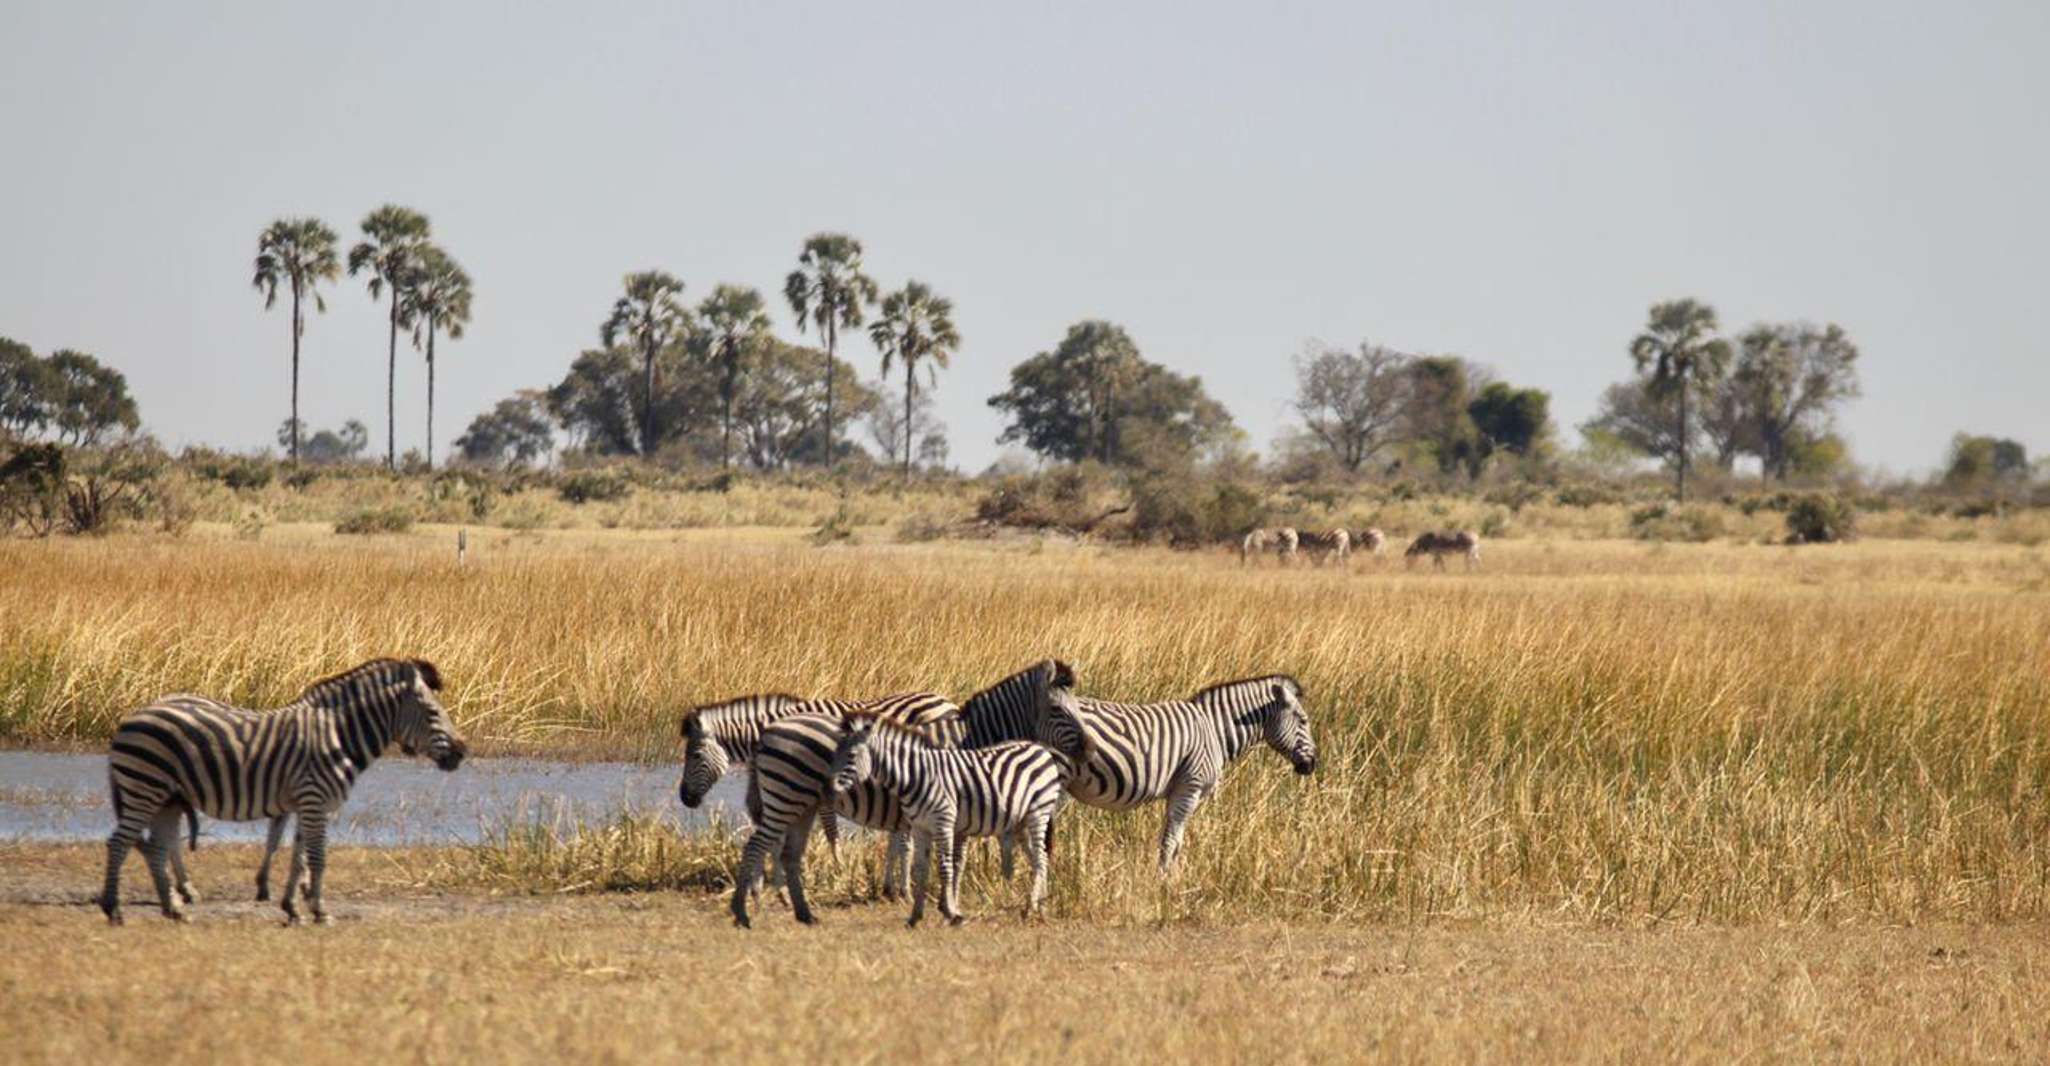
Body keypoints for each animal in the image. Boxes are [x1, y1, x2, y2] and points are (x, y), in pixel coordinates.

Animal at [101, 656, 467, 922]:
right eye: (433, 713)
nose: (462, 752)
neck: (339, 736)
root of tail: (129, 719)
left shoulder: (307, 803)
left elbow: (298, 856)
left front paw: (292, 907)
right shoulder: (314, 798)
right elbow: (316, 857)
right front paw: (319, 910)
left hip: (166, 798)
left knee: (158, 848)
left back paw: (174, 906)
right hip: (145, 787)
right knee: (119, 842)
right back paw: (114, 908)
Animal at [1057, 680, 1312, 869]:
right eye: (1303, 720)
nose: (1312, 765)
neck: (1215, 731)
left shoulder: (1178, 791)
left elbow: (1173, 841)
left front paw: (1171, 877)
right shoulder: (1190, 787)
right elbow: (1171, 841)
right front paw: (1163, 883)